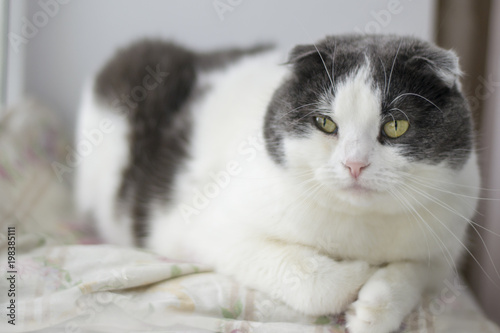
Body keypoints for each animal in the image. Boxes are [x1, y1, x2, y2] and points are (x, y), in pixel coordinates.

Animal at [75, 35, 480, 330]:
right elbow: (312, 278)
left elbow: (413, 271)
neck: (359, 229)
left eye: (396, 125)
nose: (354, 164)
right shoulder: (205, 229)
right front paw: (360, 274)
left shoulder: (445, 247)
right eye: (325, 123)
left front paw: (372, 311)